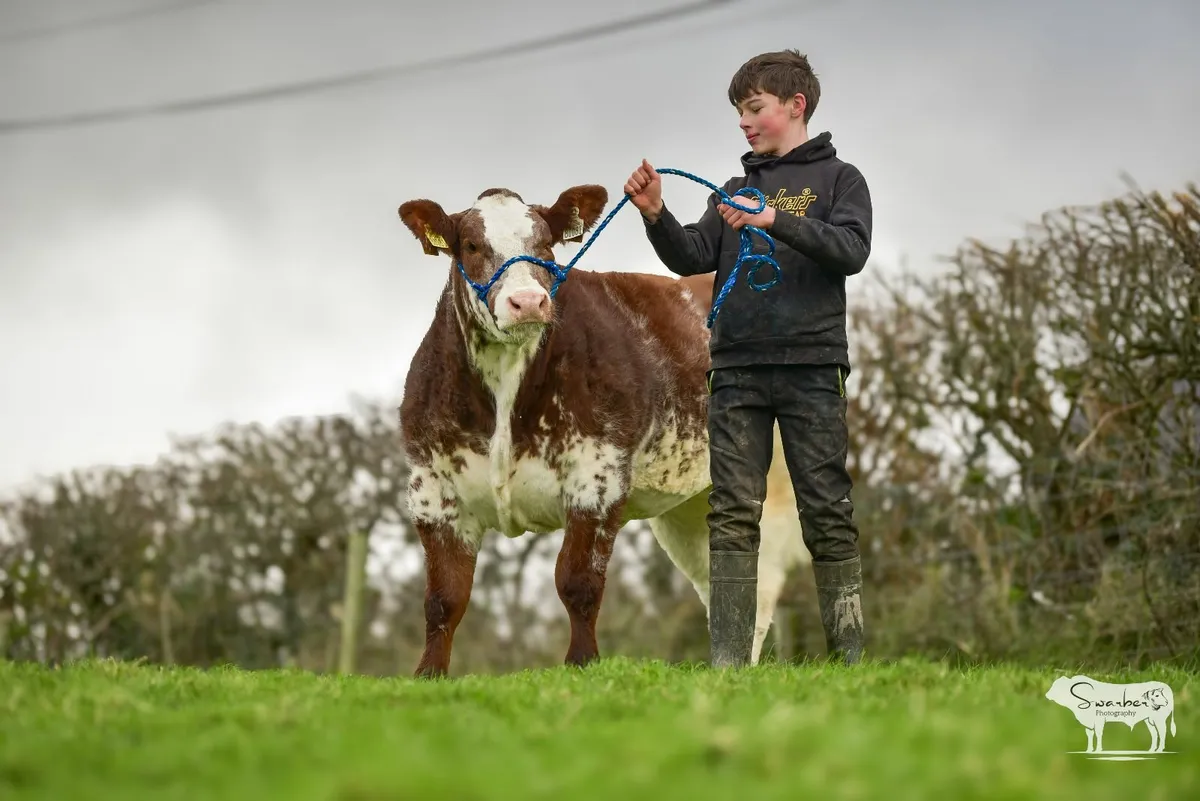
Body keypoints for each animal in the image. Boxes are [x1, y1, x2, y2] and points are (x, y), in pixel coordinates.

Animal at [395, 182, 809, 678]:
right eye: (472, 246)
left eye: (546, 245)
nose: (528, 302)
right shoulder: (431, 489)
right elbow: (444, 598)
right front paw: (428, 675)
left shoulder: (598, 475)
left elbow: (578, 582)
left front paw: (581, 664)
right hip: (690, 507)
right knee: (717, 582)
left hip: (777, 488)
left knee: (761, 587)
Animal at [1045, 674, 1177, 753]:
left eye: (1057, 686)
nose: (1047, 695)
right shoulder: (1088, 723)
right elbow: (1089, 735)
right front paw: (1089, 750)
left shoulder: (1099, 720)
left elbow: (1098, 734)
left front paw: (1098, 750)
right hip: (1149, 720)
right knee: (1155, 734)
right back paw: (1151, 750)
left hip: (1159, 720)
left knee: (1162, 732)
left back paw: (1159, 749)